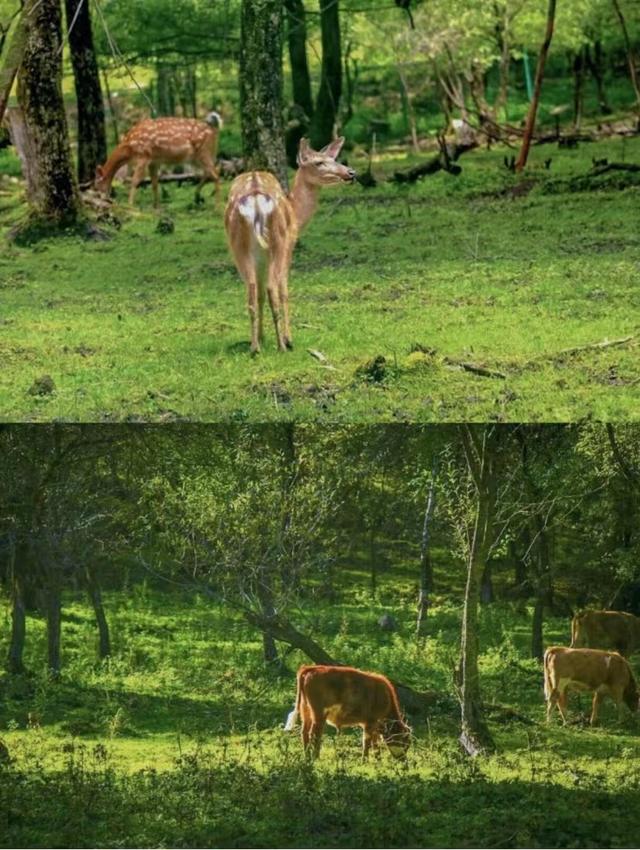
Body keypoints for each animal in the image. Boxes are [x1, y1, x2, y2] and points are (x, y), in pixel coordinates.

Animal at [224, 135, 356, 352]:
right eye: (318, 162)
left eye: (333, 158)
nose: (351, 172)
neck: (296, 214)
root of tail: (255, 197)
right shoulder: (289, 244)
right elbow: (284, 291)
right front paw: (288, 338)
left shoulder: (260, 257)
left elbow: (259, 295)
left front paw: (262, 337)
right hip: (278, 241)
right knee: (273, 289)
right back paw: (282, 345)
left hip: (238, 245)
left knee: (251, 292)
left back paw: (255, 347)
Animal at [284, 664, 412, 756]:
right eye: (404, 743)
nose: (404, 762)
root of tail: (309, 668)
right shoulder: (370, 723)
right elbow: (367, 744)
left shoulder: (373, 726)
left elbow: (375, 746)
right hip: (318, 714)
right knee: (315, 734)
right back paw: (314, 758)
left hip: (305, 711)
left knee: (304, 732)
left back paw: (307, 758)